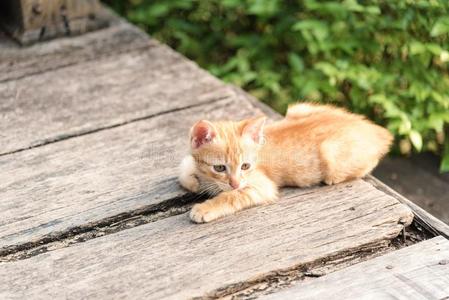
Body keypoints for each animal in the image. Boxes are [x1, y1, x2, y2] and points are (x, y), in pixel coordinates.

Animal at [178, 103, 392, 223]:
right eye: (220, 168)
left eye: (245, 166)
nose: (235, 183)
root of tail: (375, 131)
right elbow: (184, 167)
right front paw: (194, 181)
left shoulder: (261, 186)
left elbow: (232, 196)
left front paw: (205, 208)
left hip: (332, 158)